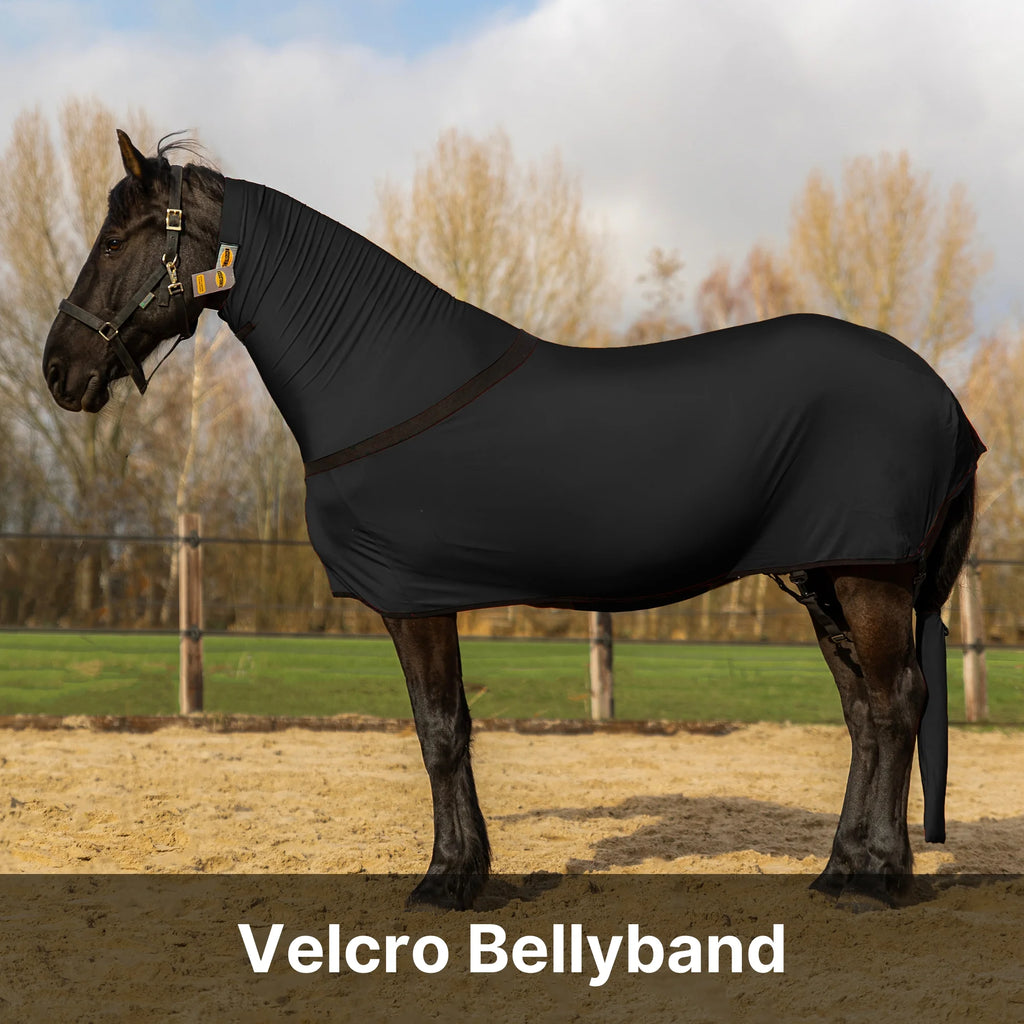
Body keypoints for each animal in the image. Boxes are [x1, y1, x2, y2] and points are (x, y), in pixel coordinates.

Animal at [42, 131, 983, 910]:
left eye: (116, 241)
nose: (58, 368)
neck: (382, 379)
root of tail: (945, 400)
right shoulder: (429, 598)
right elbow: (451, 727)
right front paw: (468, 868)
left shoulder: (413, 599)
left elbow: (439, 732)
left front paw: (446, 879)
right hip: (826, 575)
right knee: (862, 714)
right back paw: (841, 869)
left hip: (869, 575)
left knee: (896, 703)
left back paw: (881, 879)